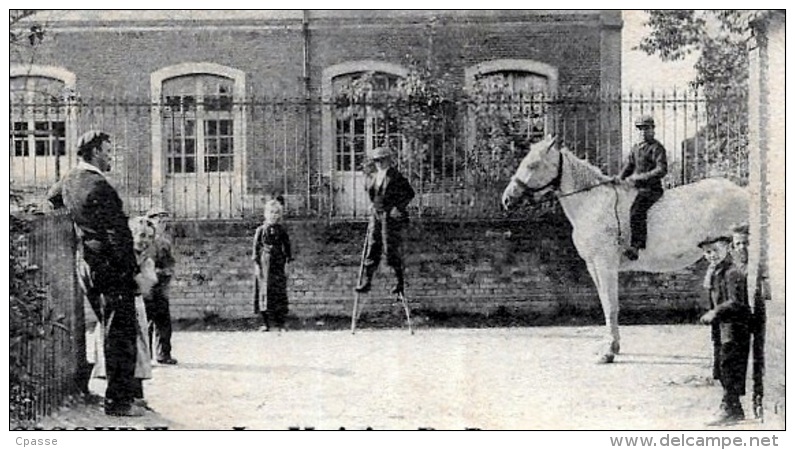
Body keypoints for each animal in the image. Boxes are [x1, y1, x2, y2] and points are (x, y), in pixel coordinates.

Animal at [500, 136, 748, 362]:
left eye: (533, 165)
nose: (507, 199)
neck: (592, 203)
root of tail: (743, 192)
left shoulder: (605, 264)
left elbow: (611, 305)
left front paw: (609, 351)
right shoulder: (593, 265)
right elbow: (604, 303)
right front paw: (611, 346)